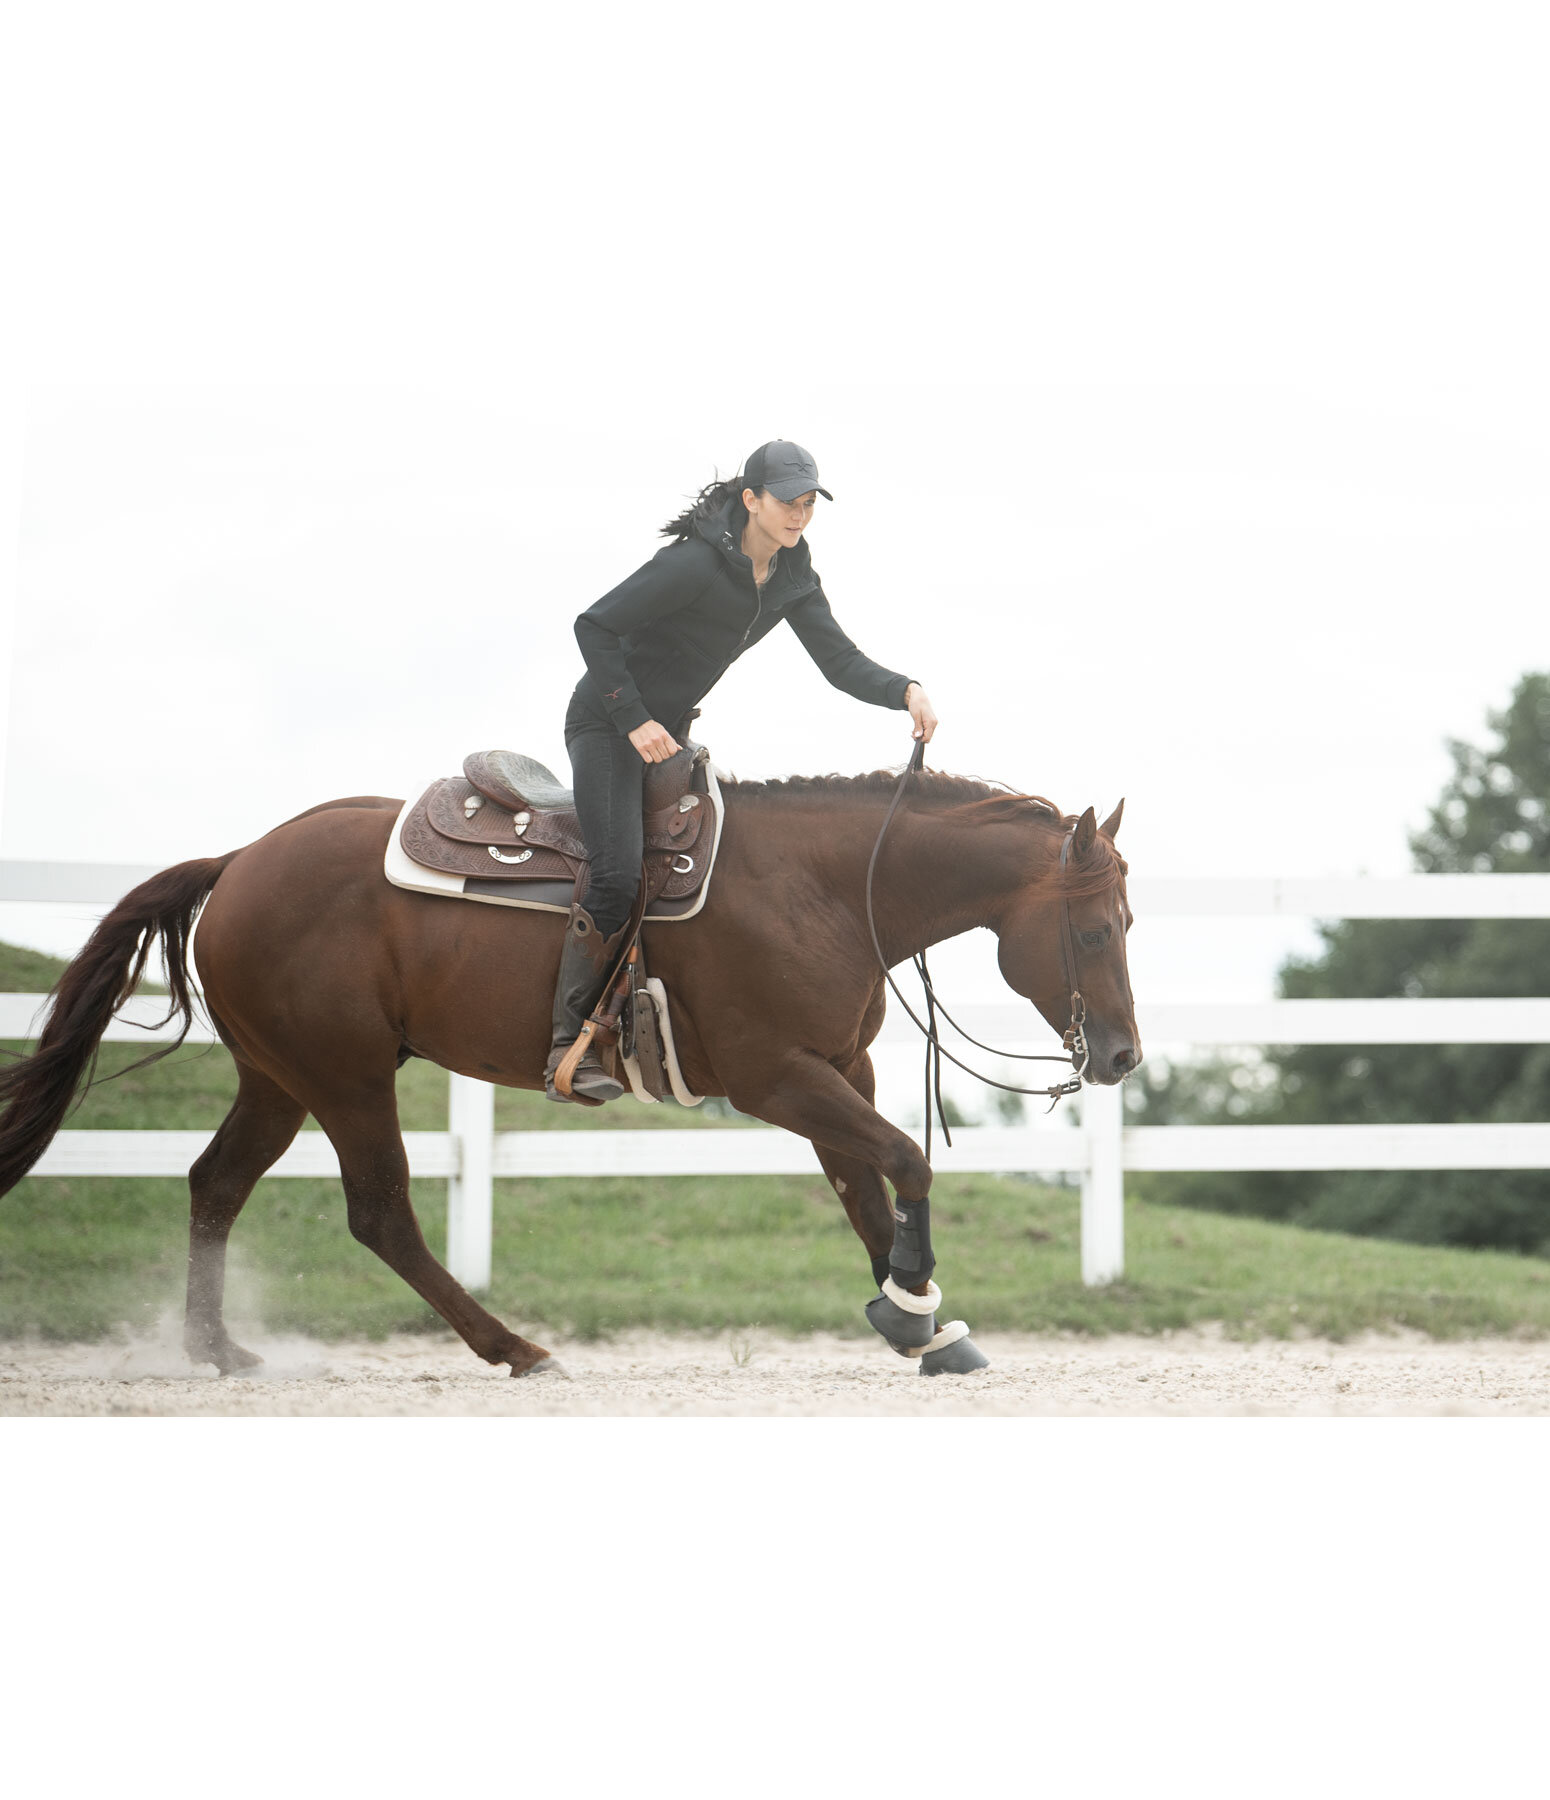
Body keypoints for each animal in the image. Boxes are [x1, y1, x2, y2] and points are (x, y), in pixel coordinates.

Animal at [0, 766, 1137, 1368]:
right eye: (1091, 931)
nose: (1122, 1056)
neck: (815, 888)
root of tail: (238, 860)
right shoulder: (776, 1077)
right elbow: (907, 1162)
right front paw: (910, 1310)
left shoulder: (837, 1073)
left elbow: (867, 1190)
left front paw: (919, 1325)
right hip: (348, 1079)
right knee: (379, 1214)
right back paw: (512, 1347)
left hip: (280, 1079)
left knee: (216, 1183)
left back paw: (216, 1347)